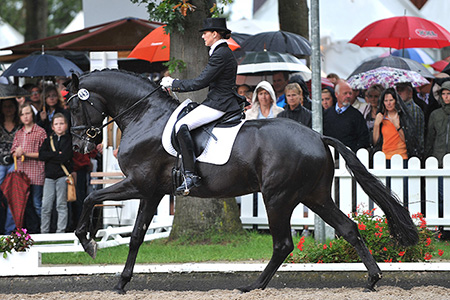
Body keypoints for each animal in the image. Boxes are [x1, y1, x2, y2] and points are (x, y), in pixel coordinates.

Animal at [67, 69, 418, 292]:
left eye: (73, 106)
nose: (78, 146)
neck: (145, 116)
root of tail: (318, 136)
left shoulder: (140, 185)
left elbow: (91, 199)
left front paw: (88, 243)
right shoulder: (151, 192)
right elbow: (137, 235)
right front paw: (120, 281)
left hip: (278, 198)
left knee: (283, 243)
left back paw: (254, 286)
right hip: (314, 197)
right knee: (348, 229)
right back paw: (372, 279)